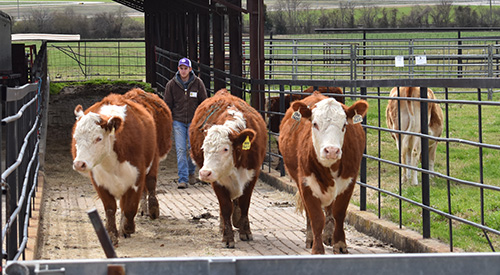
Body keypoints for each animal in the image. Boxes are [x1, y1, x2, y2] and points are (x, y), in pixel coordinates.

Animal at [70, 89, 172, 246]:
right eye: (76, 137)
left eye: (99, 138)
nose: (79, 164)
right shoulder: (100, 181)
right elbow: (110, 208)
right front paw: (112, 234)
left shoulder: (136, 177)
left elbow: (130, 207)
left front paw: (127, 227)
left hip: (153, 159)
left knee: (151, 183)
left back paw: (153, 209)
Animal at [188, 89, 268, 249]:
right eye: (203, 148)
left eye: (225, 149)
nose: (204, 173)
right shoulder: (217, 181)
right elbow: (225, 207)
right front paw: (227, 237)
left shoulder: (252, 175)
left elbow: (244, 204)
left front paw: (245, 231)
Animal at [280, 92, 370, 254]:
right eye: (315, 124)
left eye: (344, 125)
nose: (332, 150)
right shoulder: (306, 184)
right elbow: (316, 217)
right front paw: (317, 249)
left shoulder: (349, 182)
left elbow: (338, 213)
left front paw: (339, 244)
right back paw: (310, 238)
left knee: (329, 210)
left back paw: (328, 236)